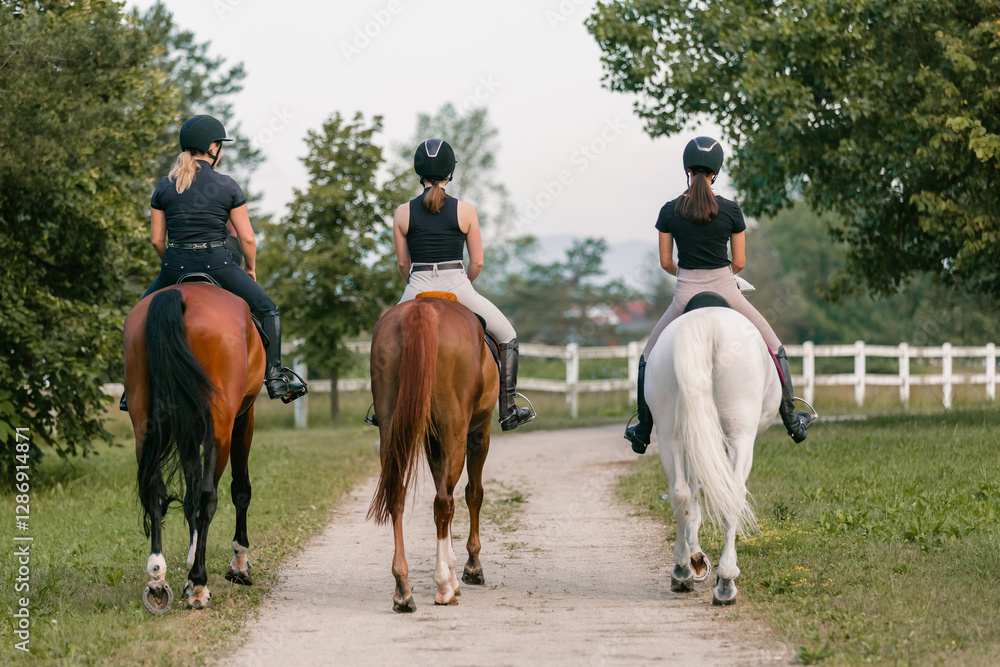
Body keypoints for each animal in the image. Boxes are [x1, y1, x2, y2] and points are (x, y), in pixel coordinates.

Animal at [123, 282, 265, 613]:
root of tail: (178, 293)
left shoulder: (188, 433)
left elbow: (187, 498)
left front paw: (187, 573)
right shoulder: (243, 418)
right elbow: (239, 490)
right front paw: (238, 564)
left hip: (142, 420)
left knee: (156, 493)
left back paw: (157, 578)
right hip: (221, 427)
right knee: (207, 497)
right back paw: (200, 586)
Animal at [367, 295, 500, 612]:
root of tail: (422, 308)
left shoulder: (431, 438)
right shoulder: (479, 432)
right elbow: (473, 493)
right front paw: (470, 568)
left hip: (391, 428)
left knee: (397, 494)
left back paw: (403, 590)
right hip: (456, 429)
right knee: (443, 501)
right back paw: (443, 588)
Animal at [645, 303, 781, 605]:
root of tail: (704, 322)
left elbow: (693, 498)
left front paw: (696, 558)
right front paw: (702, 562)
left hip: (670, 433)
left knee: (680, 492)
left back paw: (682, 570)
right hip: (740, 435)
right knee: (732, 495)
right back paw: (724, 581)